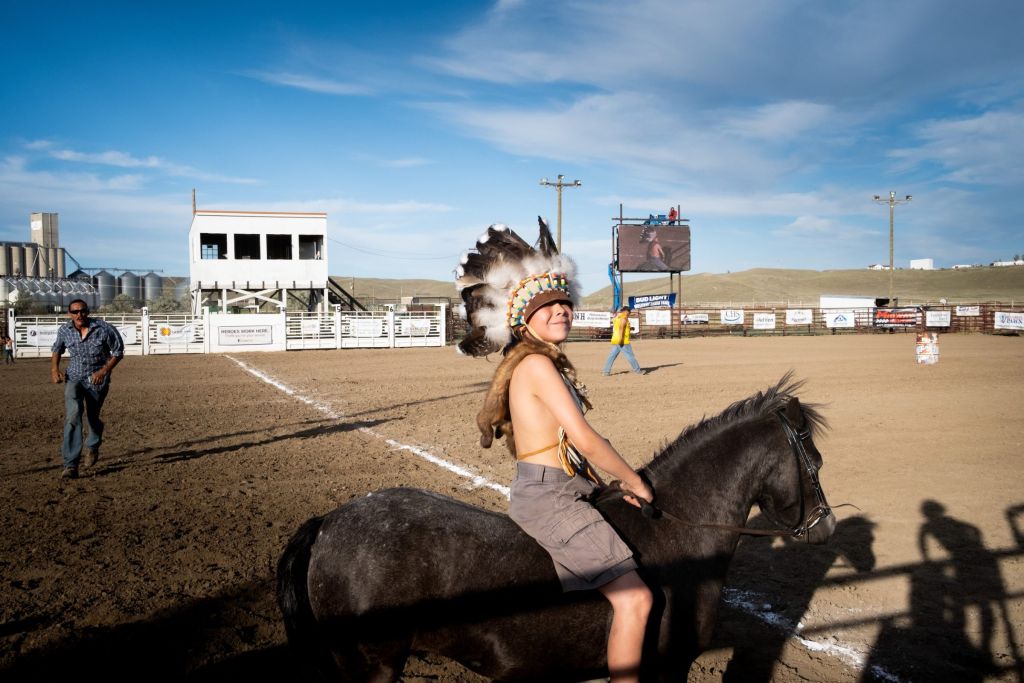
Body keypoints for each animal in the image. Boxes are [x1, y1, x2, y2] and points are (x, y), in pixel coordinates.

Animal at [276, 376, 835, 679]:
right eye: (815, 461)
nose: (826, 527)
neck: (680, 535)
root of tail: (327, 524)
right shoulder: (668, 665)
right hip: (374, 664)